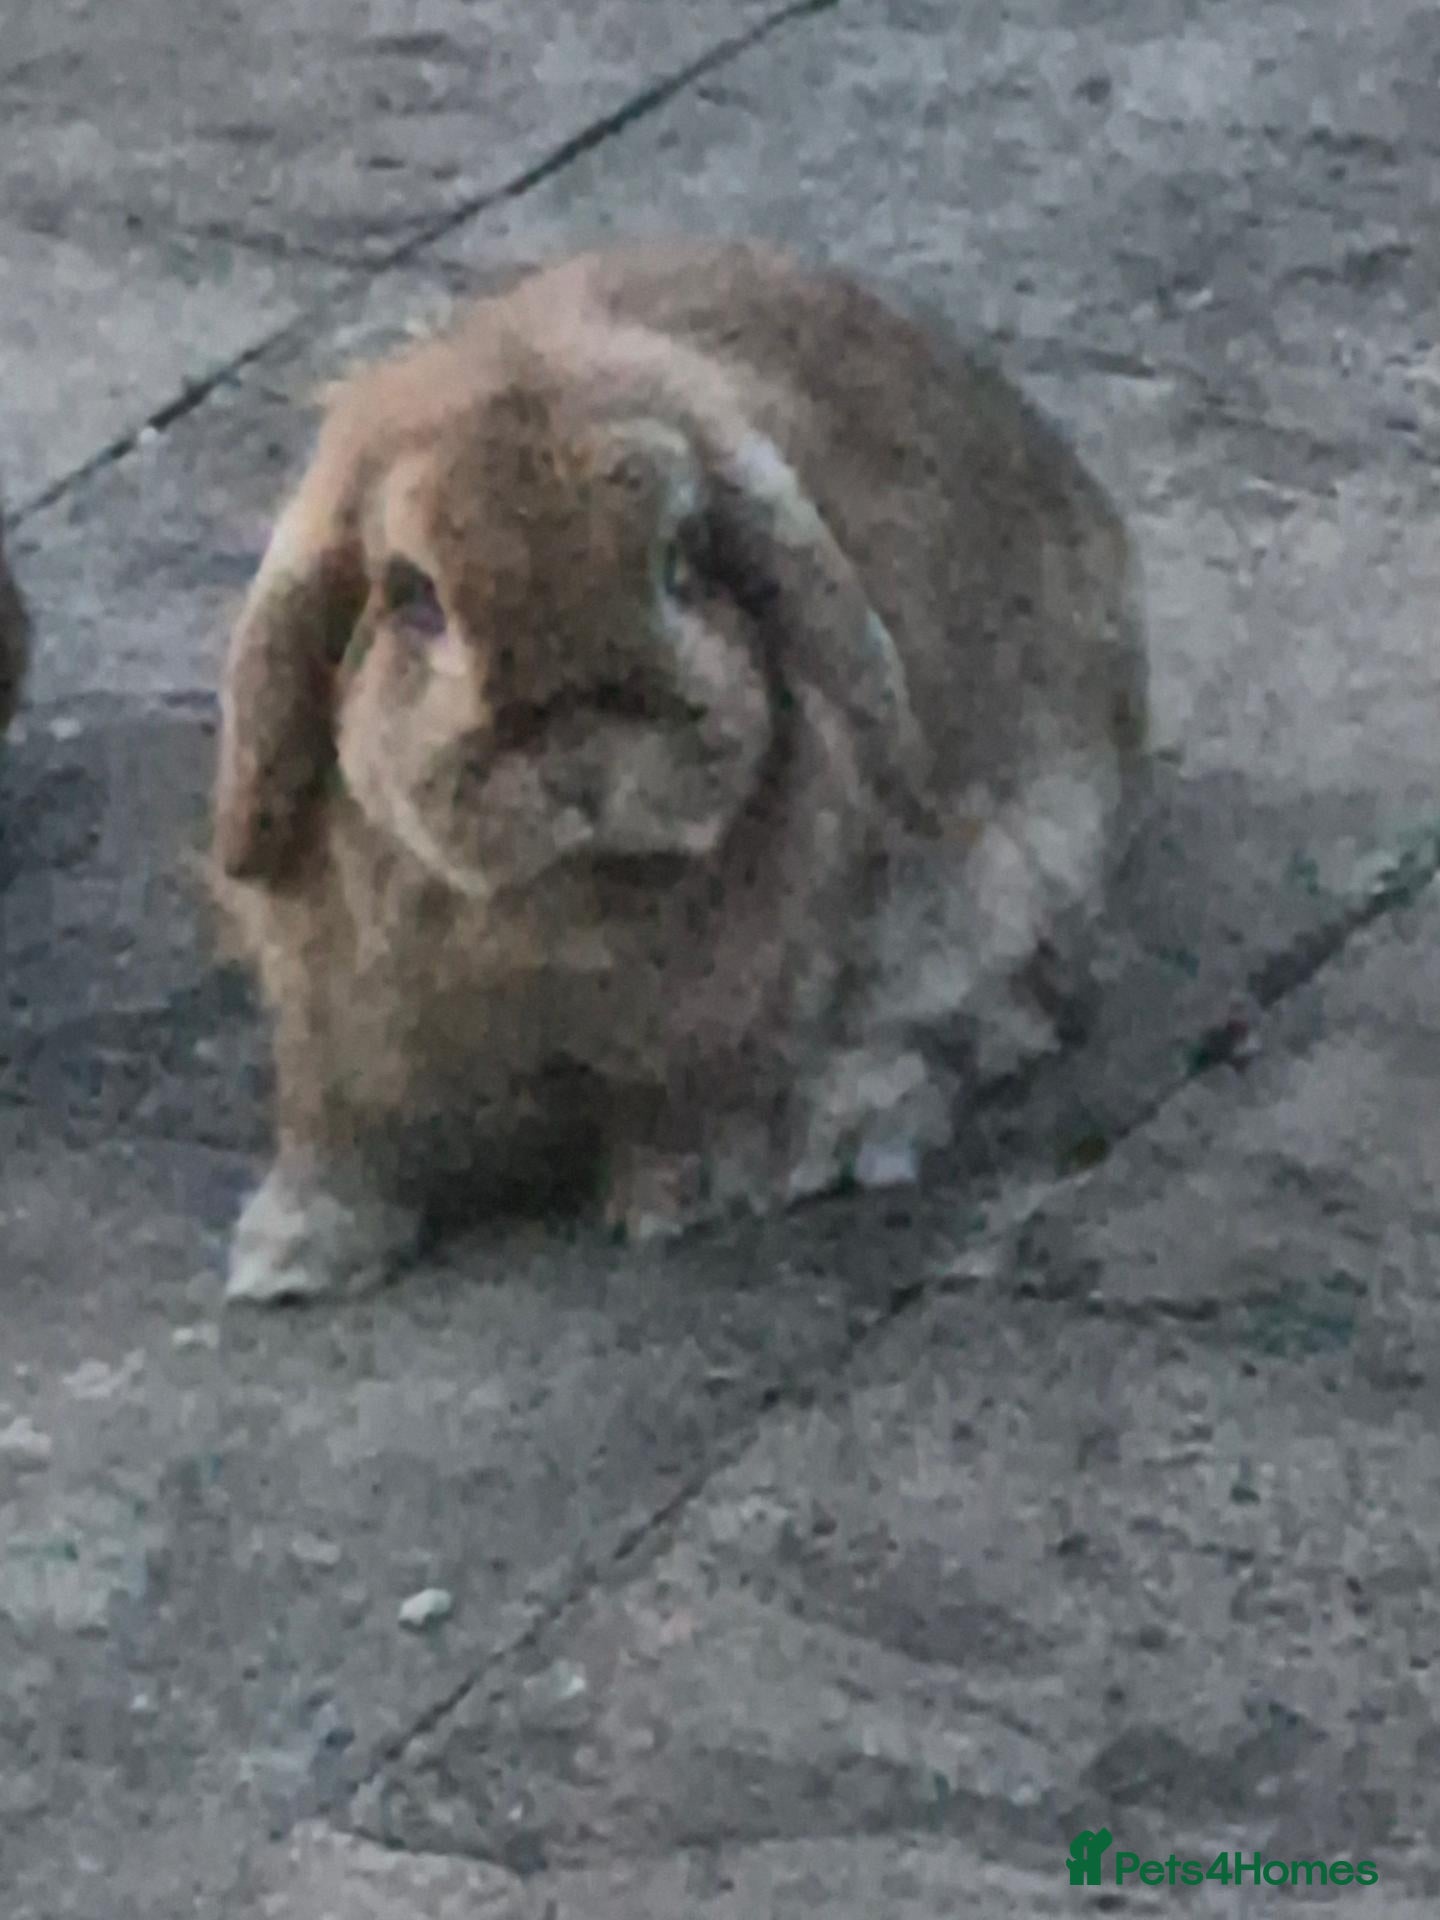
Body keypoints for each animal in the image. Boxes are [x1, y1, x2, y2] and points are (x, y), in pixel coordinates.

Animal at [210, 239, 1148, 1303]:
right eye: (413, 595)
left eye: (684, 559)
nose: (581, 758)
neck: (552, 914)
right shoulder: (337, 1038)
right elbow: (346, 1142)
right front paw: (292, 1258)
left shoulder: (719, 1033)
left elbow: (692, 1108)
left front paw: (680, 1202)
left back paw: (838, 1131)